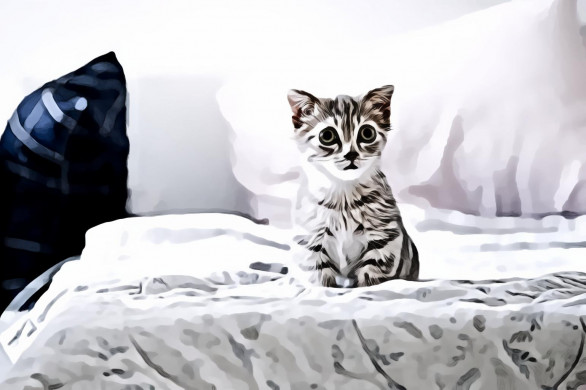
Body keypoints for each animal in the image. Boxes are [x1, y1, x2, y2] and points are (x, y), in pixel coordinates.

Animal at [286, 84, 416, 286]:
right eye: (327, 136)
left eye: (367, 133)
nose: (352, 154)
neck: (343, 197)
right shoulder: (310, 241)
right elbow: (319, 279)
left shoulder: (384, 240)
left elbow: (371, 278)